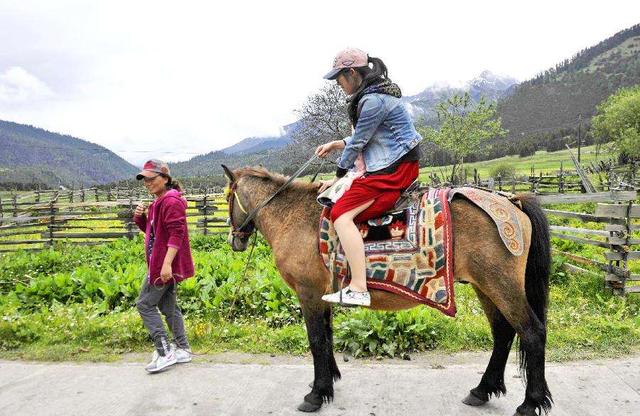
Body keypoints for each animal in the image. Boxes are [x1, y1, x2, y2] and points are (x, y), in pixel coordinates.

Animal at [222, 166, 552, 416]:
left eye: (228, 198)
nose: (234, 240)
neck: (292, 216)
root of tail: (512, 201)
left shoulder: (308, 293)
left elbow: (316, 340)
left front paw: (317, 394)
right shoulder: (322, 295)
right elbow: (327, 336)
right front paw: (329, 381)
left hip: (501, 284)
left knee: (531, 332)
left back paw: (530, 403)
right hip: (486, 287)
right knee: (503, 333)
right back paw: (483, 390)